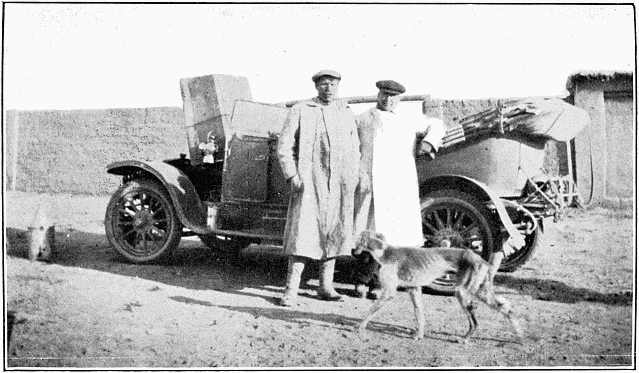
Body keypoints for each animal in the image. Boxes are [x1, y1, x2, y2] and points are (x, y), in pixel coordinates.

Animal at [352, 230, 524, 342]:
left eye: (358, 241)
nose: (352, 251)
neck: (384, 252)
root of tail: (480, 259)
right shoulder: (414, 290)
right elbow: (419, 315)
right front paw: (419, 335)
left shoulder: (389, 292)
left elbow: (370, 311)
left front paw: (359, 327)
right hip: (481, 292)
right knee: (507, 309)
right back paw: (520, 335)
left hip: (462, 292)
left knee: (474, 322)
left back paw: (466, 338)